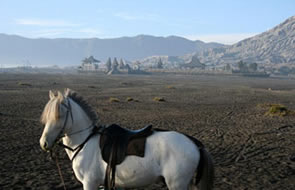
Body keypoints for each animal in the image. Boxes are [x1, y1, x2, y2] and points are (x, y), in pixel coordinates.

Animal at [40, 89, 215, 190]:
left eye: (59, 115)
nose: (44, 143)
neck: (85, 142)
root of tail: (194, 143)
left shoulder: (89, 183)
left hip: (177, 184)